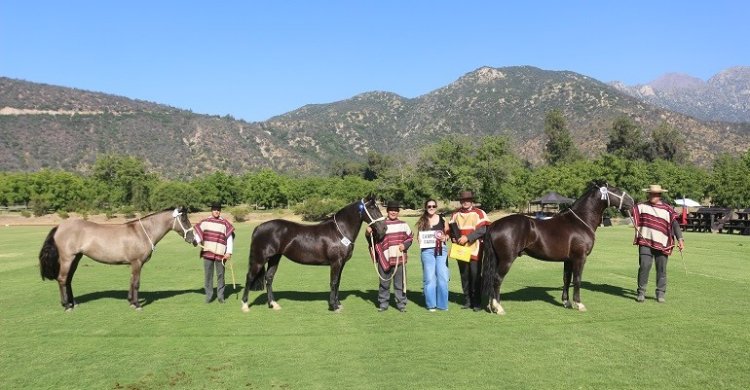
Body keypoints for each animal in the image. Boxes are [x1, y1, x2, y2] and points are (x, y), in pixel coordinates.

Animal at [39, 207, 194, 310]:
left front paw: (131, 301)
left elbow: (131, 281)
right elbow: (136, 283)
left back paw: (73, 303)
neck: (142, 232)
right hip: (67, 259)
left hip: (76, 258)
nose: (193, 239)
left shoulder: (134, 264)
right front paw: (137, 304)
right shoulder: (137, 262)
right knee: (62, 279)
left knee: (68, 280)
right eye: (184, 219)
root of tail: (59, 227)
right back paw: (66, 305)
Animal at [242, 197, 388, 312]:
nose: (384, 228)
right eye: (372, 208)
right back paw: (245, 305)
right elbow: (333, 282)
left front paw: (338, 304)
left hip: (274, 258)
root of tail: (259, 227)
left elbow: (338, 282)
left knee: (269, 278)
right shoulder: (336, 263)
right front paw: (334, 306)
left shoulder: (341, 264)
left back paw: (274, 304)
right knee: (249, 277)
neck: (339, 232)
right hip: (260, 259)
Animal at [484, 182, 636, 314]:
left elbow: (566, 279)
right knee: (497, 279)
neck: (581, 221)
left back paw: (491, 306)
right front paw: (579, 304)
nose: (632, 201)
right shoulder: (580, 258)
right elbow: (577, 279)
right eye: (616, 190)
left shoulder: (568, 260)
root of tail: (494, 225)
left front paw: (566, 302)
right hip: (507, 259)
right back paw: (499, 308)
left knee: (492, 279)